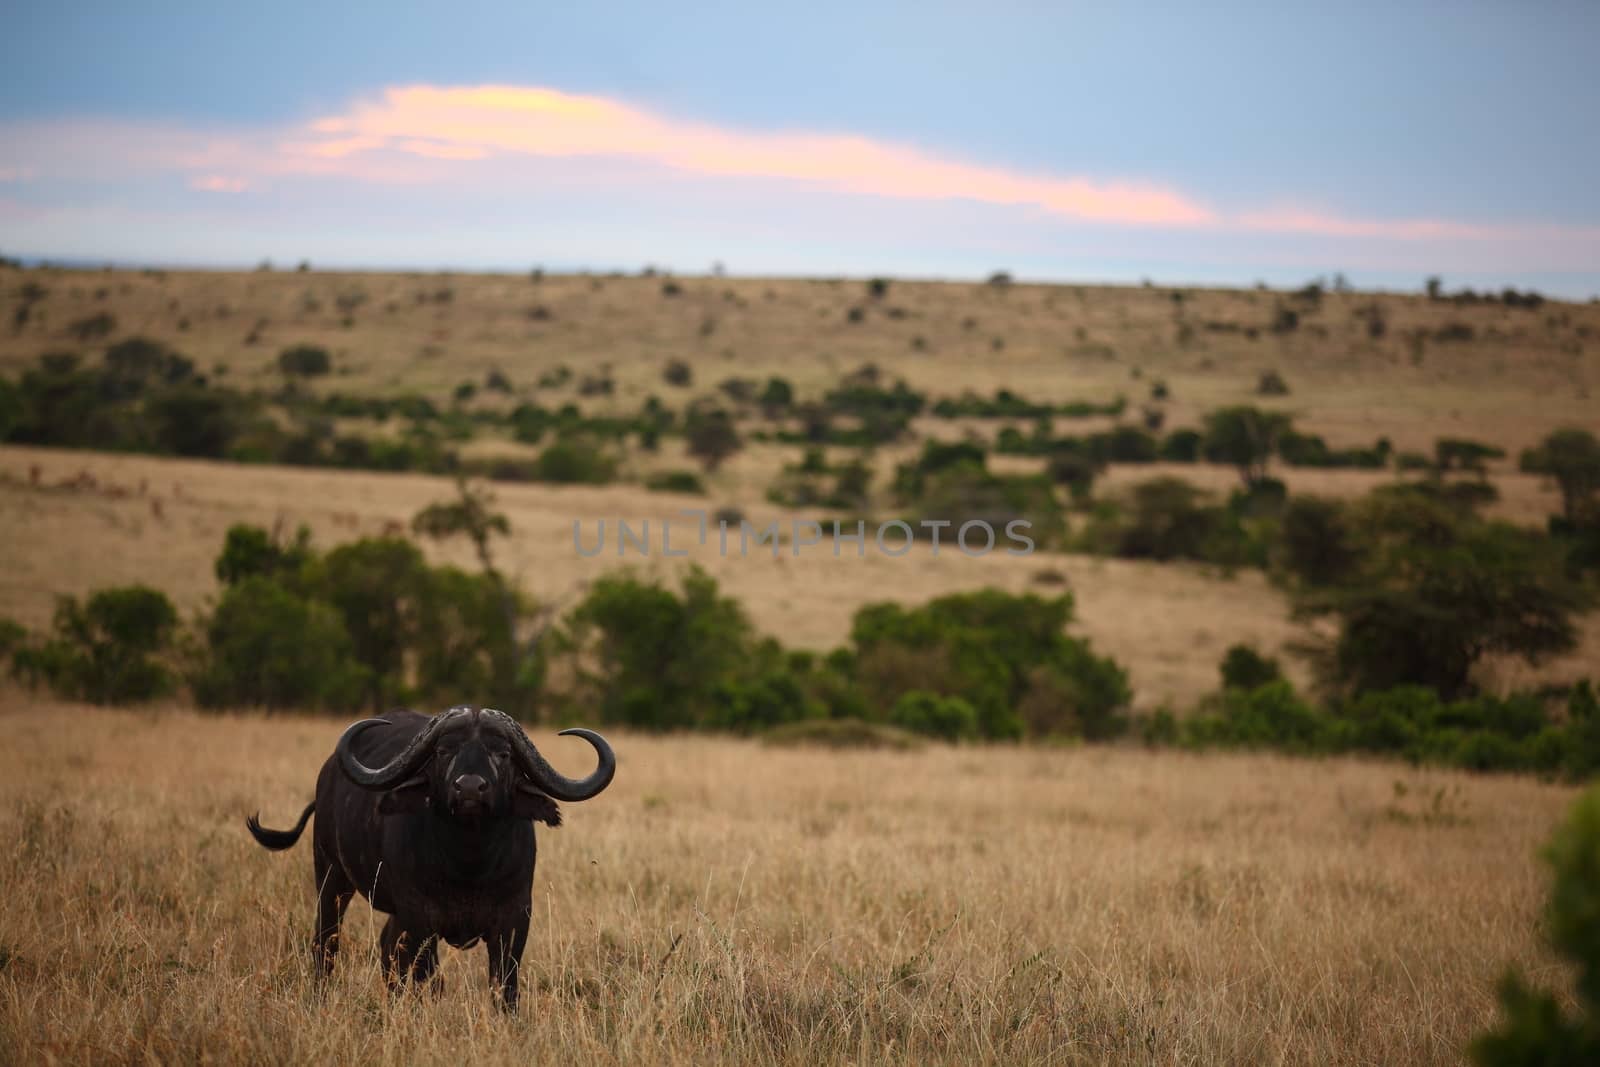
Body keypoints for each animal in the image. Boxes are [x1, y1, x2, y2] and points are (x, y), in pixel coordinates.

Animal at [246, 710, 614, 1011]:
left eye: (503, 753)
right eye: (443, 751)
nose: (470, 788)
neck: (470, 863)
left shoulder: (514, 919)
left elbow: (505, 987)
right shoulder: (421, 917)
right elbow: (430, 980)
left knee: (387, 948)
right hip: (331, 875)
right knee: (327, 942)